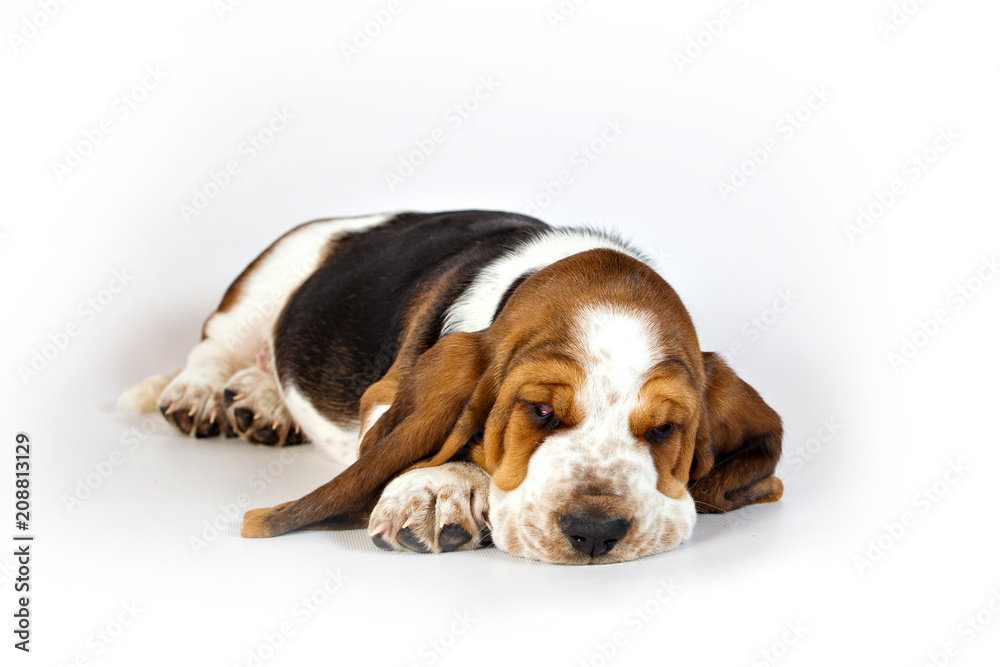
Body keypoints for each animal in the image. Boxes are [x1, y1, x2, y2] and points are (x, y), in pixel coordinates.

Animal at [121, 211, 784, 568]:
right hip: (264, 286)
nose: (595, 533)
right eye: (540, 411)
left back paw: (262, 401)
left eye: (666, 429)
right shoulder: (386, 393)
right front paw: (442, 488)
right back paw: (202, 395)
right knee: (211, 349)